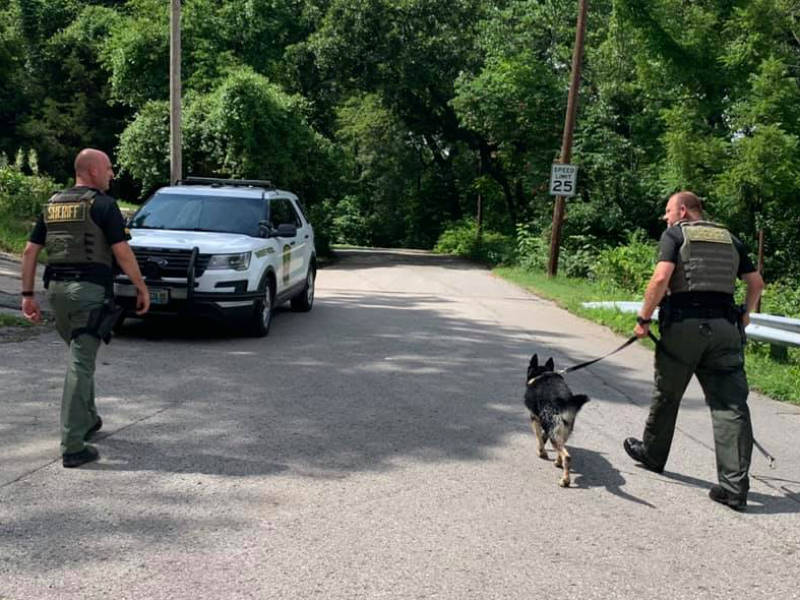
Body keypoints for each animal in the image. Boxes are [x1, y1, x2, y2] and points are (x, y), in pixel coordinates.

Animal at [524, 354, 588, 486]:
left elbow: (539, 437)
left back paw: (565, 480)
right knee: (561, 448)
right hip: (562, 430)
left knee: (566, 456)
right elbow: (543, 437)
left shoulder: (534, 419)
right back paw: (559, 463)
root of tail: (564, 402)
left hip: (553, 430)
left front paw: (542, 452)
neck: (542, 374)